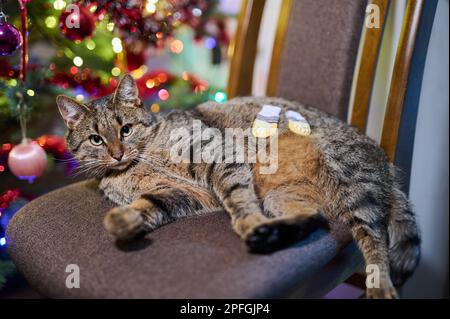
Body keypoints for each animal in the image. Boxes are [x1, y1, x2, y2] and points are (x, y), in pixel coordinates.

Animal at [57, 75, 422, 300]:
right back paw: (270, 235)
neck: (137, 165)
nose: (117, 153)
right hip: (282, 196)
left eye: (126, 129)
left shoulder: (219, 155)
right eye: (96, 139)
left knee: (374, 240)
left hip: (352, 184)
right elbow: (148, 205)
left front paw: (248, 222)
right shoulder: (183, 194)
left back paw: (380, 286)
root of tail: (388, 165)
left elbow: (238, 199)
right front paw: (124, 220)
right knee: (314, 218)